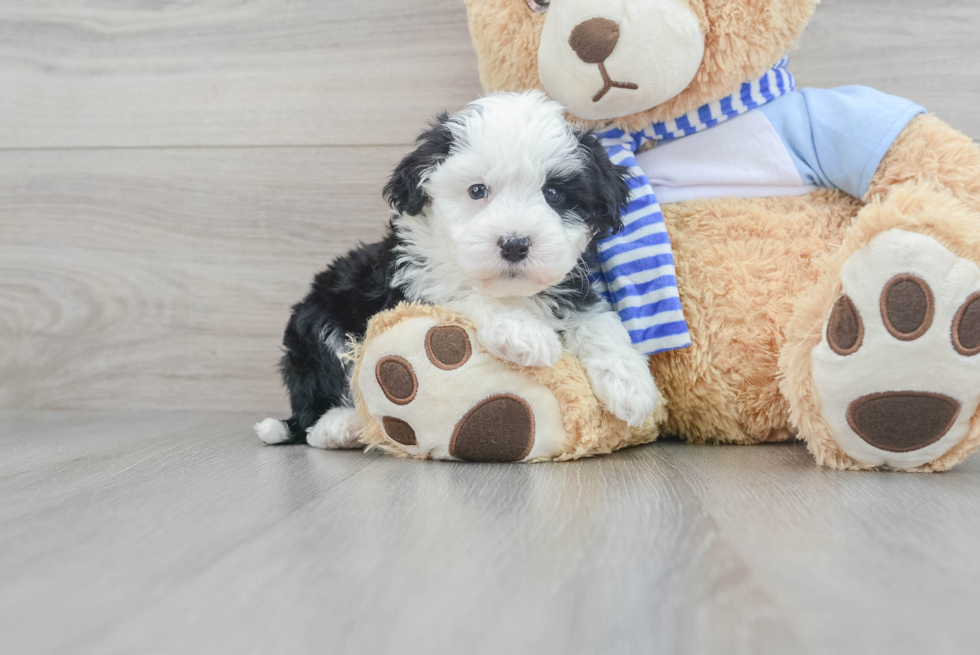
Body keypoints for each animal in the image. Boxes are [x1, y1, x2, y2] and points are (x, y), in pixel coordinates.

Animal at [256, 92, 664, 448]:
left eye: (554, 194)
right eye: (477, 190)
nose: (514, 244)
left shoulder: (574, 287)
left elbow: (599, 322)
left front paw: (630, 383)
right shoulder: (411, 284)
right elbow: (461, 293)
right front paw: (524, 332)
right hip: (318, 322)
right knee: (321, 401)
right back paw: (339, 426)